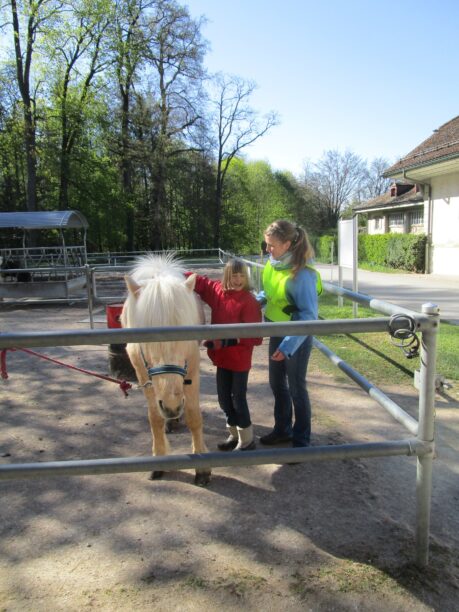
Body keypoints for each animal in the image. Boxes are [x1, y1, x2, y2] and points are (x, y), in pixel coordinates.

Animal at [119, 251, 211, 486]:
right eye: (144, 340)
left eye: (185, 336)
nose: (171, 405)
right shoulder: (143, 373)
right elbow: (155, 418)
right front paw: (159, 458)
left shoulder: (192, 368)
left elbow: (194, 416)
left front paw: (202, 466)